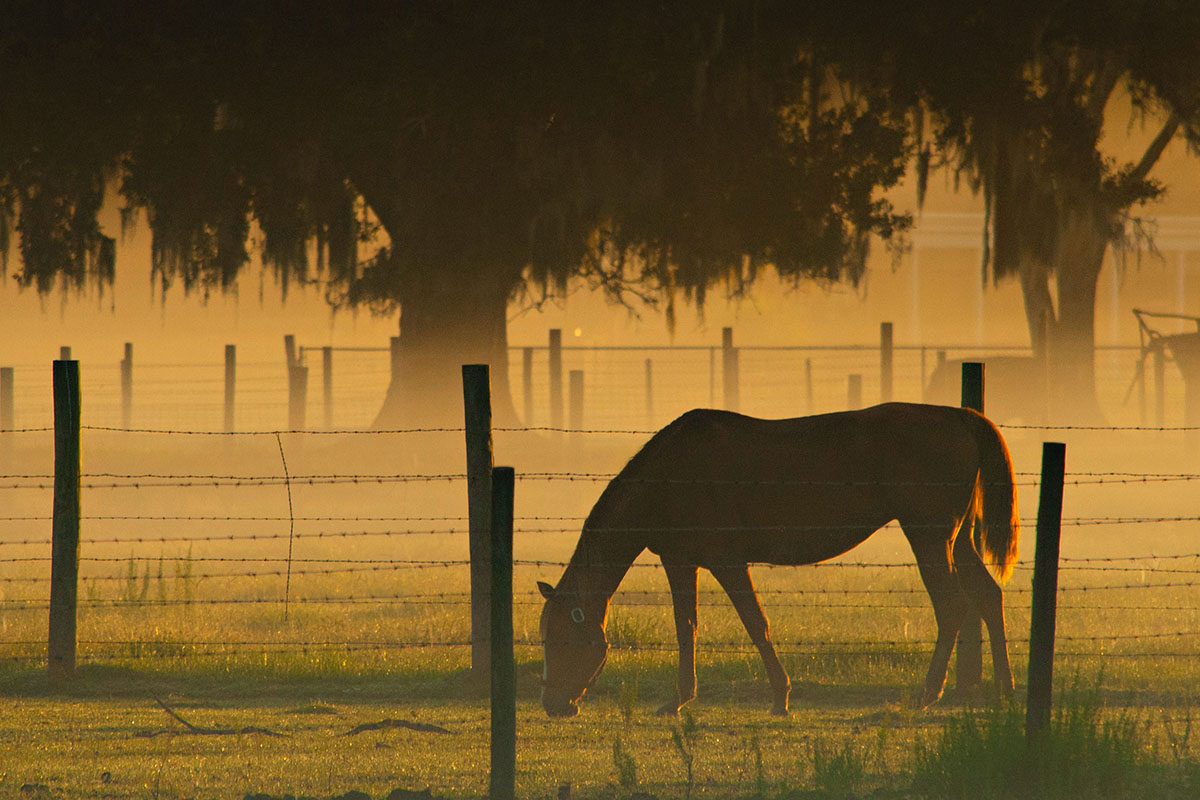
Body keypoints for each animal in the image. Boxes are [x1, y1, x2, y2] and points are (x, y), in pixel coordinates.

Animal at [537, 402, 1019, 717]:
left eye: (561, 639)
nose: (553, 705)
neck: (669, 475)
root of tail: (961, 416)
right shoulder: (682, 561)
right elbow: (686, 626)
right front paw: (680, 699)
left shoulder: (727, 562)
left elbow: (755, 624)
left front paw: (780, 697)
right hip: (956, 541)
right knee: (988, 596)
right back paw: (1005, 688)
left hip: (929, 537)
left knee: (953, 606)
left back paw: (928, 693)